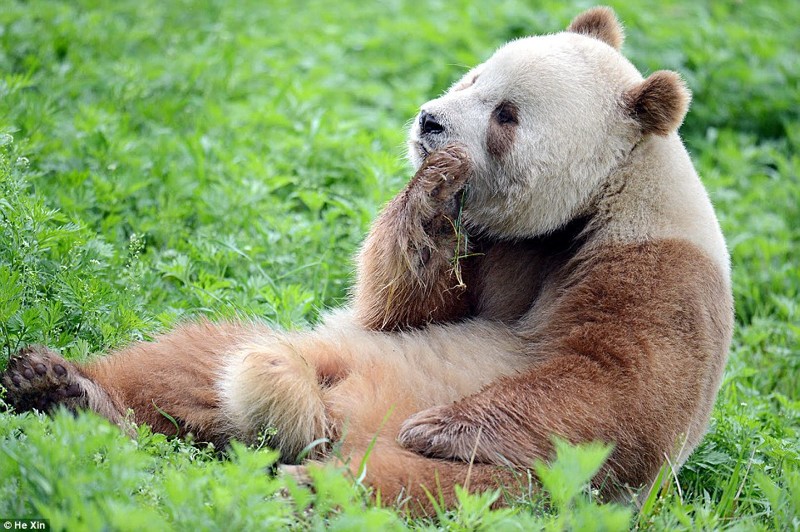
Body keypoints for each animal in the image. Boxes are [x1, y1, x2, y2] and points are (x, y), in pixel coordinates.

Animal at [3, 8, 736, 512]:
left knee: (425, 488)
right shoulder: (494, 246)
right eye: (474, 74)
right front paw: (430, 192)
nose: (430, 121)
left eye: (506, 114)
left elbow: (615, 388)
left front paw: (441, 426)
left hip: (523, 483)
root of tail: (326, 425)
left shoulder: (658, 271)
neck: (587, 206)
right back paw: (62, 389)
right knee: (192, 360)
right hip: (324, 350)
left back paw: (301, 487)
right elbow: (401, 309)